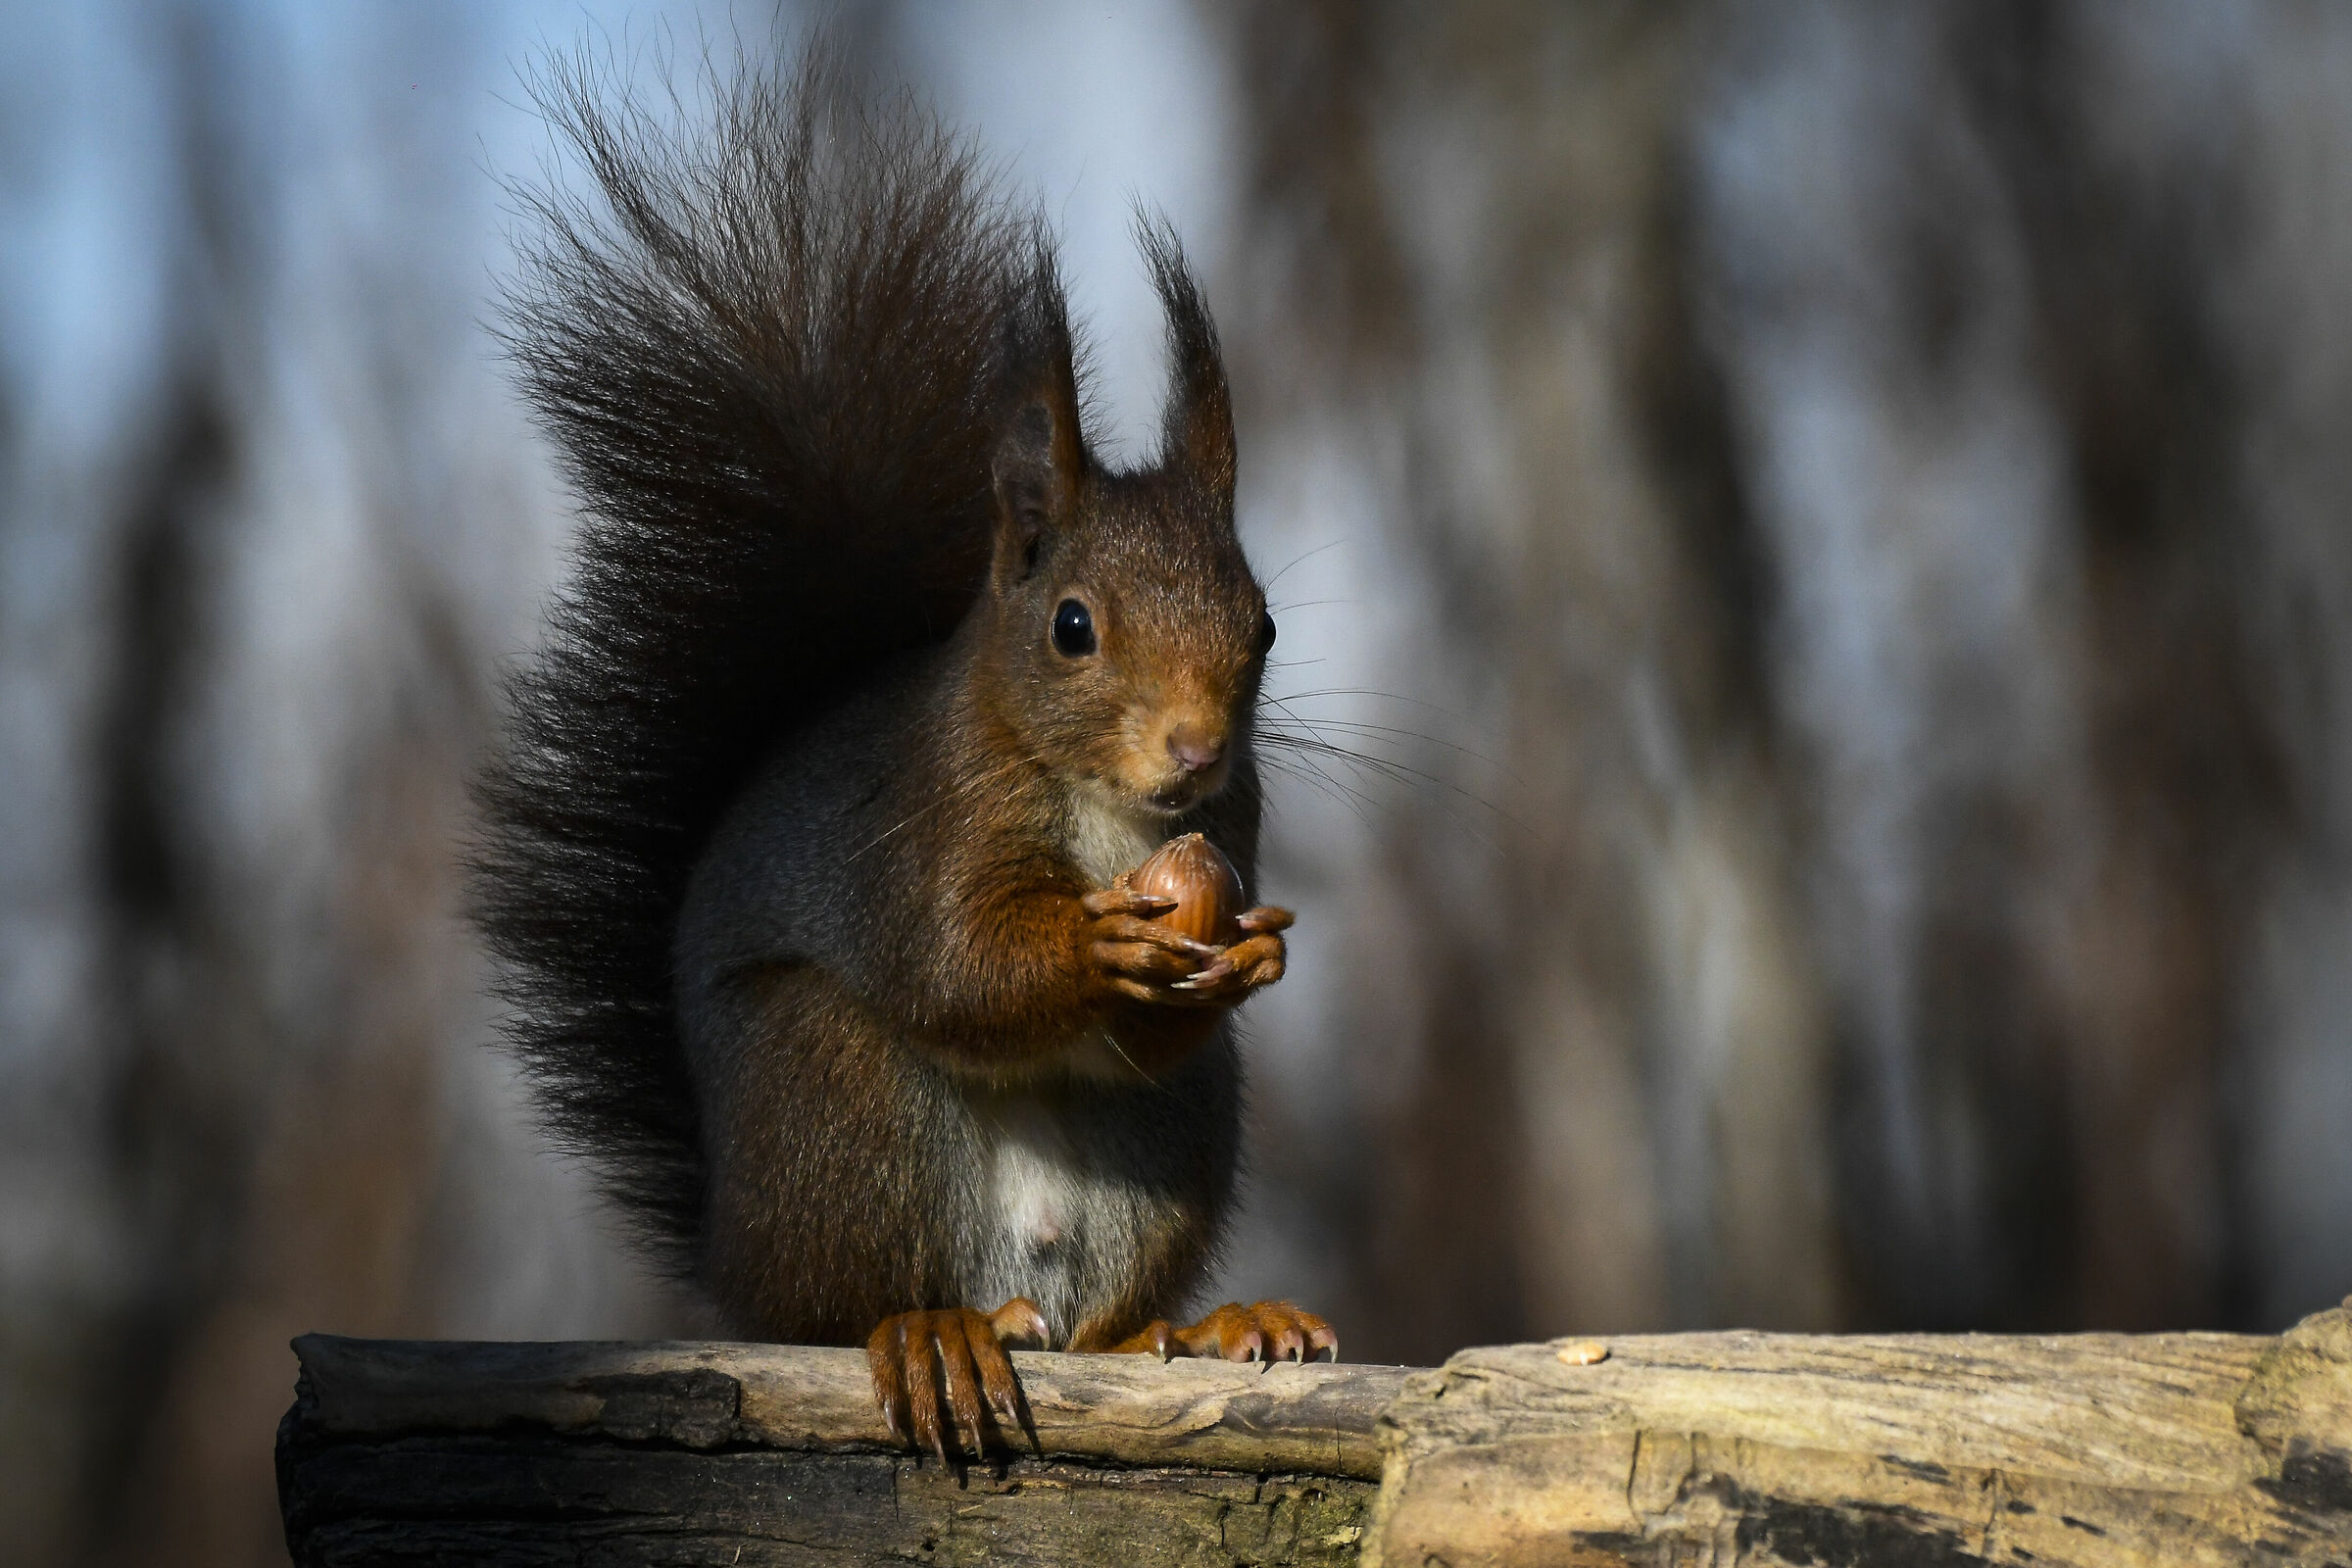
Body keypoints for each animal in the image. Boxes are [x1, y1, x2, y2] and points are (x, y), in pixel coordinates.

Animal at [471, 50, 1335, 1459]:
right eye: (1073, 626)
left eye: (1263, 625)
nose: (1198, 749)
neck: (1110, 810)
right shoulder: (924, 823)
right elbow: (953, 966)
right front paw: (1089, 946)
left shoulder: (1235, 824)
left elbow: (1159, 1018)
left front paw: (1252, 954)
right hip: (834, 1096)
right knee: (845, 1308)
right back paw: (932, 1335)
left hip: (1173, 1137)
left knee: (1101, 1317)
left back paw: (1202, 1326)